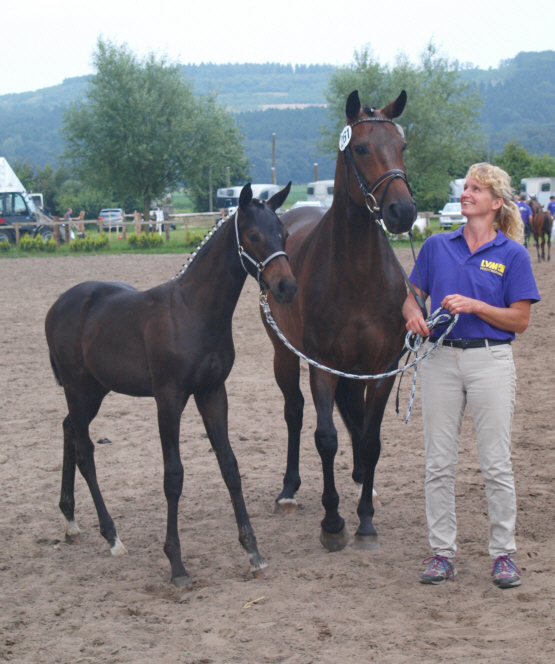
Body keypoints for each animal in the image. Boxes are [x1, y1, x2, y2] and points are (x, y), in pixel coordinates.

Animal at [45, 183, 297, 586]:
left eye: (284, 233)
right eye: (254, 235)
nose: (286, 286)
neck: (193, 312)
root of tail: (58, 306)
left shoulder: (213, 393)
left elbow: (229, 466)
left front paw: (254, 553)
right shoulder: (169, 398)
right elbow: (173, 476)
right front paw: (176, 564)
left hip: (93, 391)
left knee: (69, 428)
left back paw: (70, 521)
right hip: (78, 387)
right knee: (84, 449)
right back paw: (112, 536)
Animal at [261, 90, 417, 552]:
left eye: (401, 146)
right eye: (361, 148)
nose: (403, 210)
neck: (358, 276)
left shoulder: (381, 370)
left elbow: (371, 439)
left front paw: (365, 520)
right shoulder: (323, 367)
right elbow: (326, 438)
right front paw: (333, 523)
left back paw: (365, 483)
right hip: (283, 354)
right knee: (294, 412)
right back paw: (289, 490)